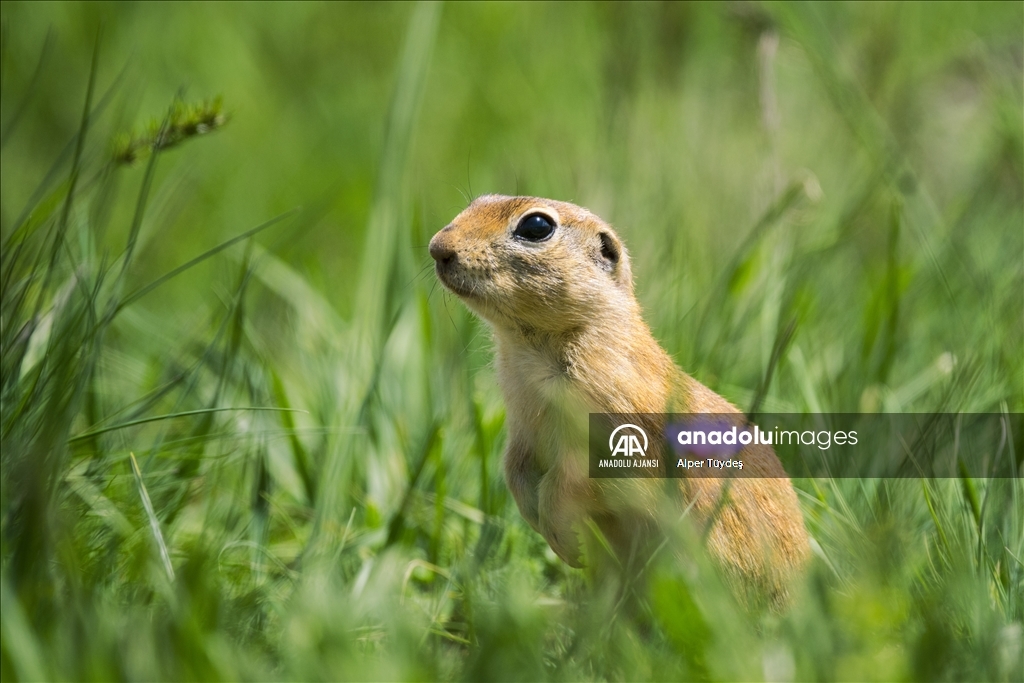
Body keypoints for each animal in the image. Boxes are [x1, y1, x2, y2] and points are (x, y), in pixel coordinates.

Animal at [430, 194, 806, 606]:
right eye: (479, 201)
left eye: (536, 226)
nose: (437, 247)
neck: (531, 350)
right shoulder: (522, 423)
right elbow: (515, 468)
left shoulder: (612, 428)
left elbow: (572, 480)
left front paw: (566, 543)